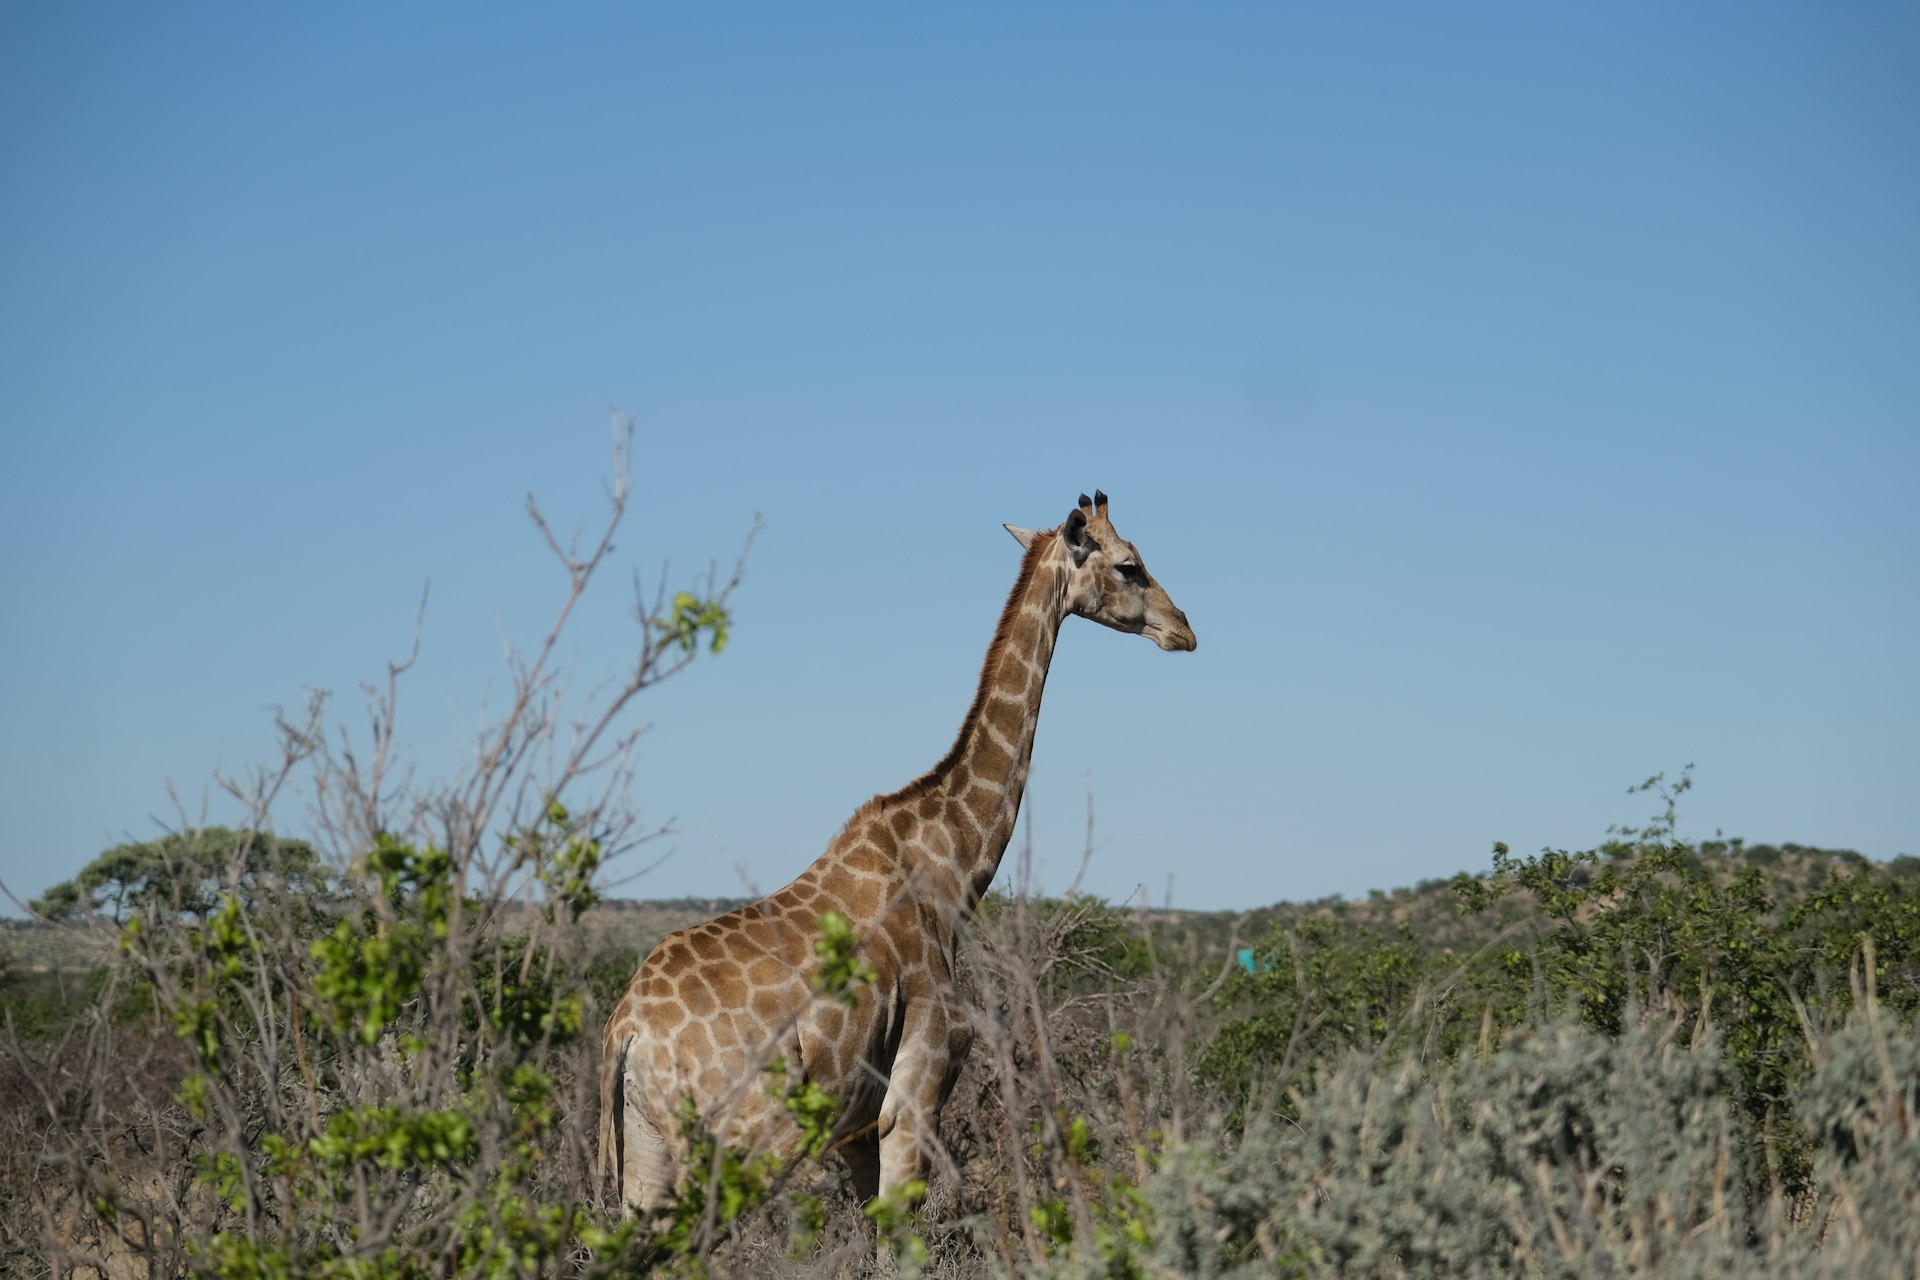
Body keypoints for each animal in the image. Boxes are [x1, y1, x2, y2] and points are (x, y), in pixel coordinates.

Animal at [598, 491, 1195, 1214]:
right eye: (1131, 565)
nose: (1184, 629)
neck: (953, 864)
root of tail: (627, 1033)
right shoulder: (916, 1093)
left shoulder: (856, 1130)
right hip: (748, 1140)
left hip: (646, 1156)